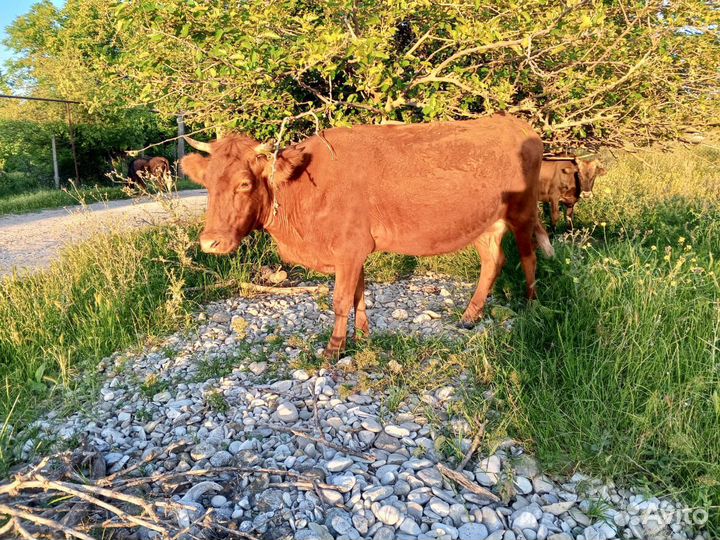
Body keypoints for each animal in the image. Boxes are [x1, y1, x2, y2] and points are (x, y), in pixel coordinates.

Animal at [181, 115, 554, 357]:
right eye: (207, 183)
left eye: (244, 183)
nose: (210, 242)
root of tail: (516, 124)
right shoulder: (354, 249)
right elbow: (359, 294)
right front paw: (362, 336)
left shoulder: (348, 248)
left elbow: (341, 299)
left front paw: (334, 350)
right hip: (485, 222)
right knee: (493, 260)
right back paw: (470, 316)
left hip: (523, 211)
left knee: (528, 257)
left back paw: (533, 307)